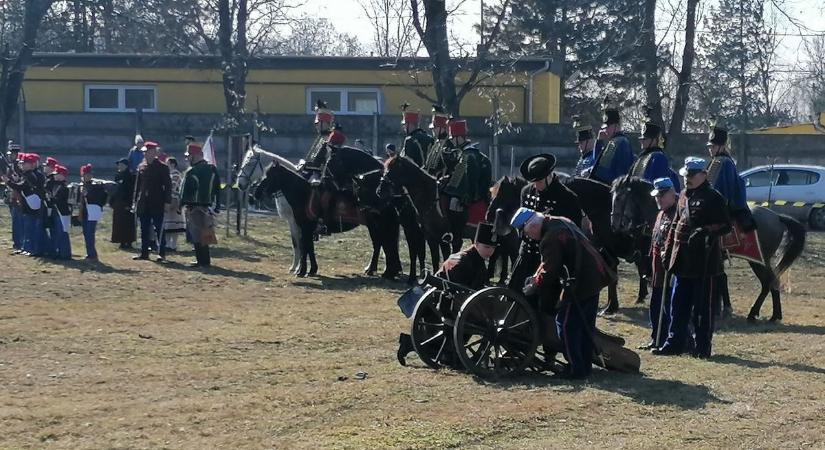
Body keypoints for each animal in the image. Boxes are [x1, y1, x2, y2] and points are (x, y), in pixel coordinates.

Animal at [612, 176, 804, 320]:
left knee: (768, 282)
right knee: (771, 282)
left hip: (759, 260)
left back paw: (757, 313)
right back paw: (772, 314)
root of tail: (777, 217)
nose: (615, 224)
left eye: (620, 197)